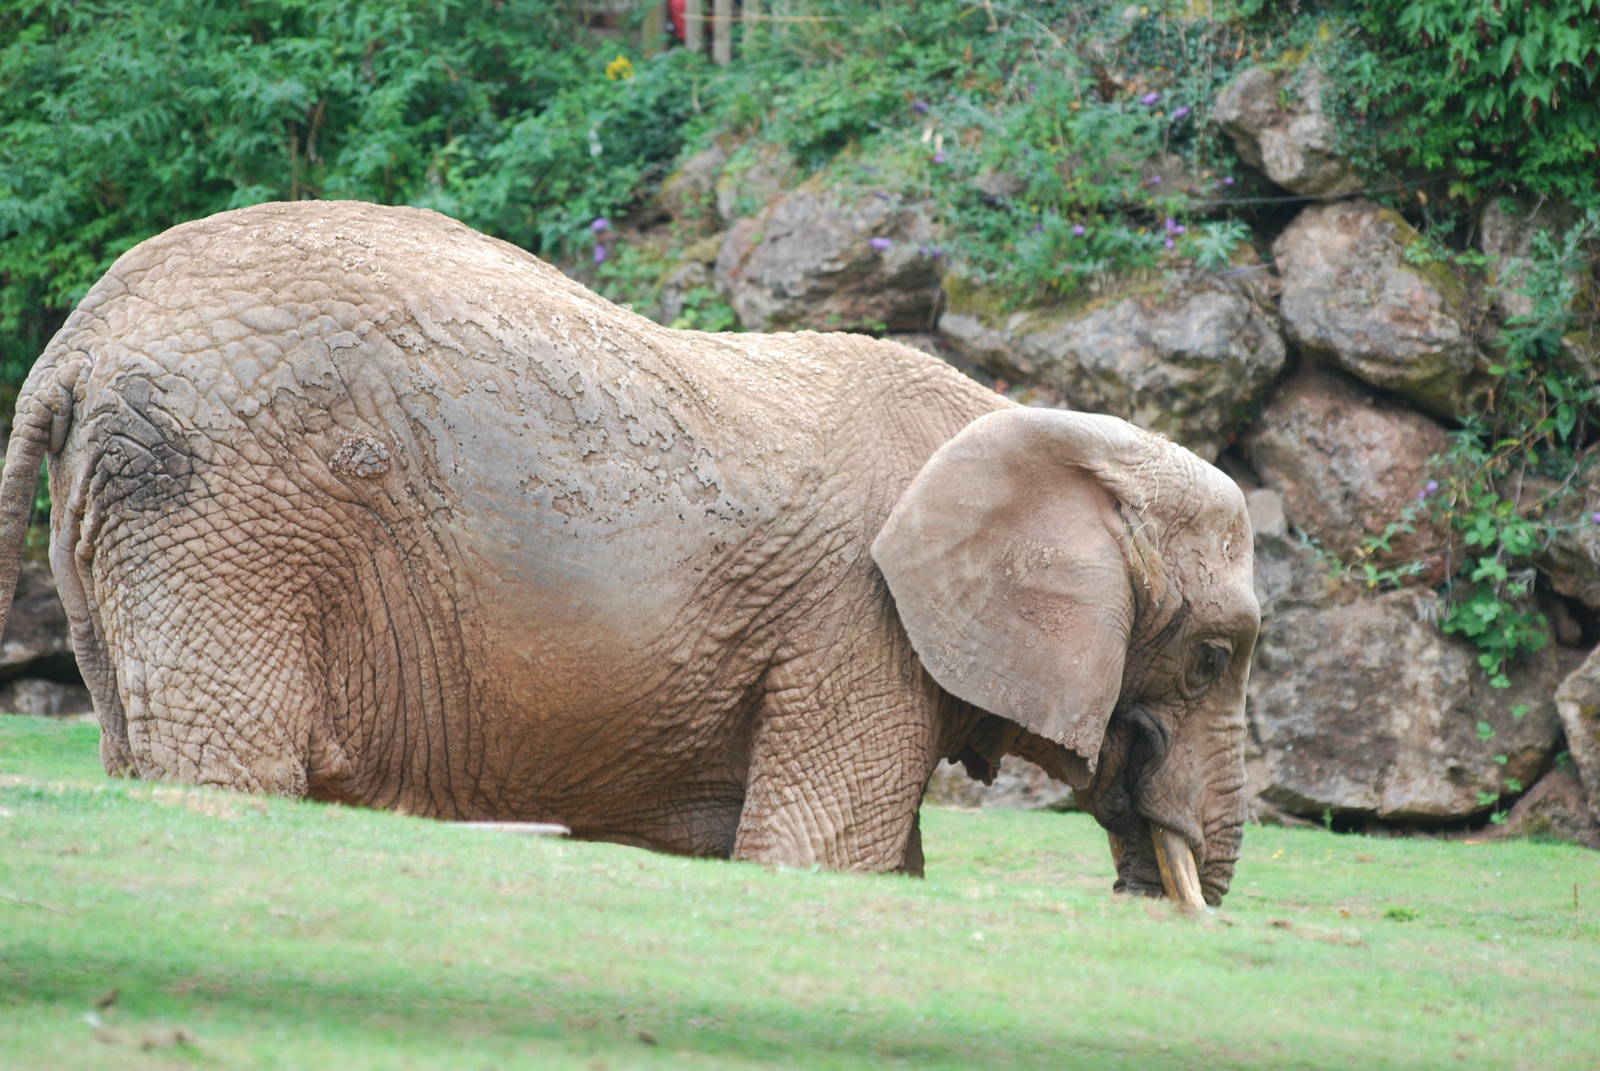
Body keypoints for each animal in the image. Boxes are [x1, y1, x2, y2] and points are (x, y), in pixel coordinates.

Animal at [0, 200, 1259, 907]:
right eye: (1212, 657)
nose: (1145, 891)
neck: (1031, 423)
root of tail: (77, 341)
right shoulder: (860, 630)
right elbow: (819, 857)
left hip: (139, 519)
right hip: (229, 508)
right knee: (231, 768)